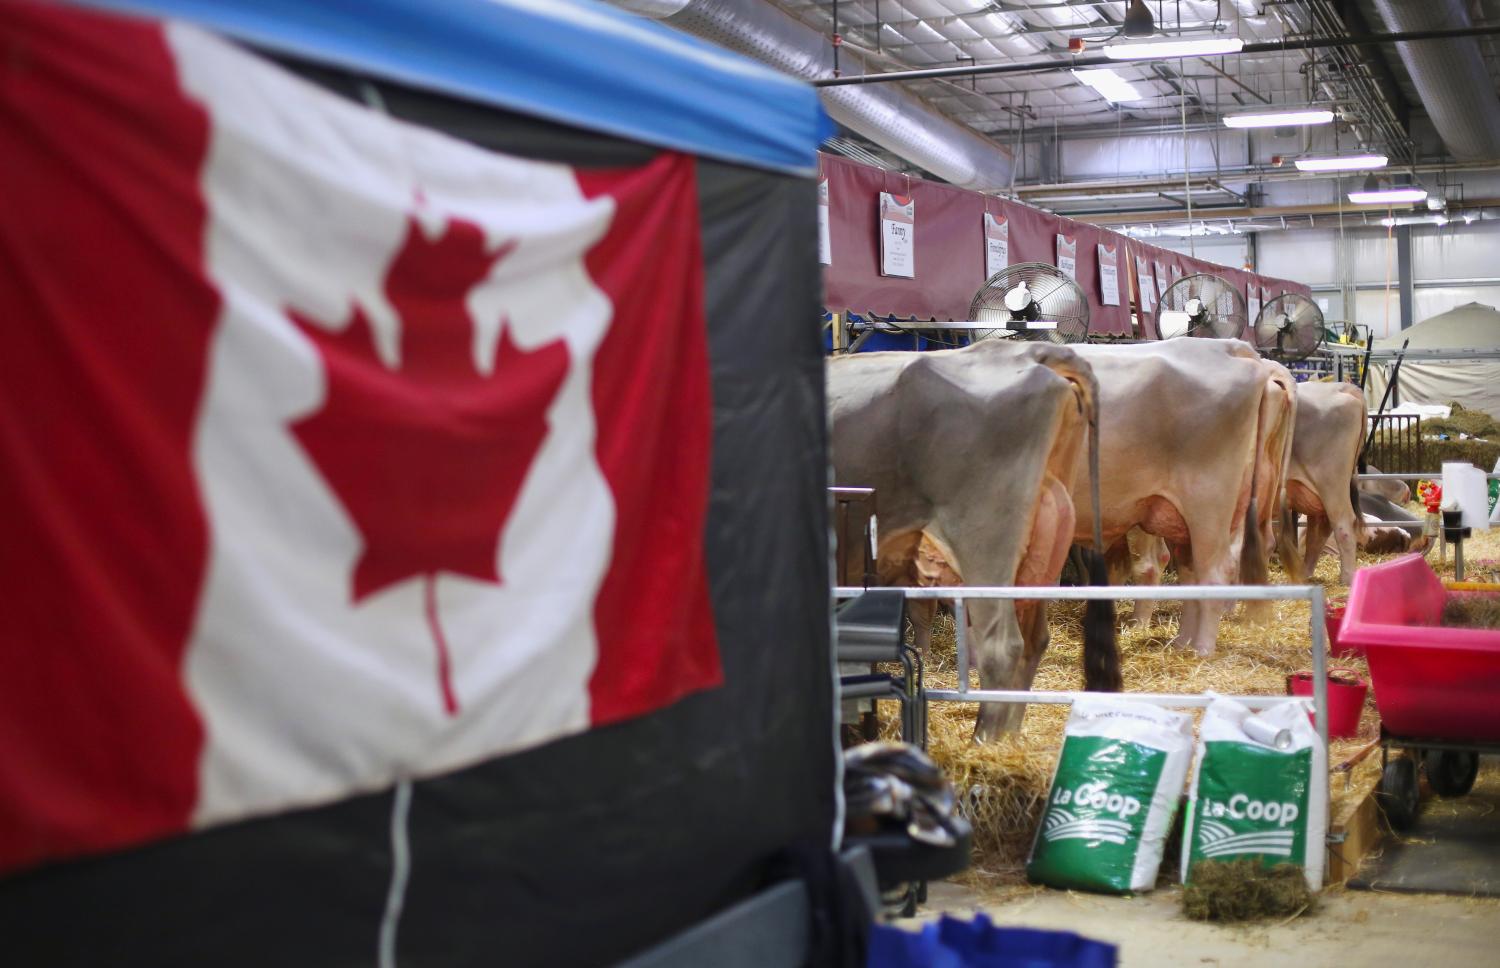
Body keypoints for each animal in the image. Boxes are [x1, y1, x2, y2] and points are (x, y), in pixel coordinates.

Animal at [828, 336, 1122, 735]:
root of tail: (1032, 352)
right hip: (1044, 543)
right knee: (1034, 639)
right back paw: (1008, 736)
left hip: (986, 541)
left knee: (1002, 645)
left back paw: (984, 740)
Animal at [1068, 339, 1290, 657]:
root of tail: (1229, 347)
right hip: (1182, 515)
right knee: (1193, 572)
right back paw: (1183, 642)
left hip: (1208, 505)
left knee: (1214, 570)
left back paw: (1202, 649)